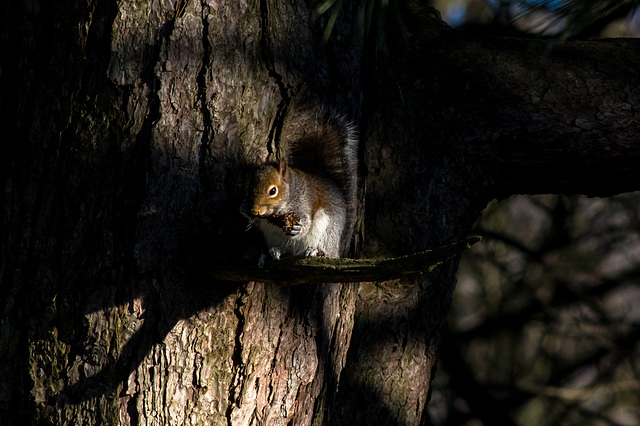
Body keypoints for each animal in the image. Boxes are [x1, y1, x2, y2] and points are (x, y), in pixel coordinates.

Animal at [242, 107, 358, 260]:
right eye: (250, 185)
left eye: (273, 191)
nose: (254, 210)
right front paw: (244, 208)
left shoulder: (304, 202)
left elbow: (307, 222)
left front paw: (299, 228)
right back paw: (277, 250)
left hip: (327, 233)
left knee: (325, 250)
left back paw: (315, 251)